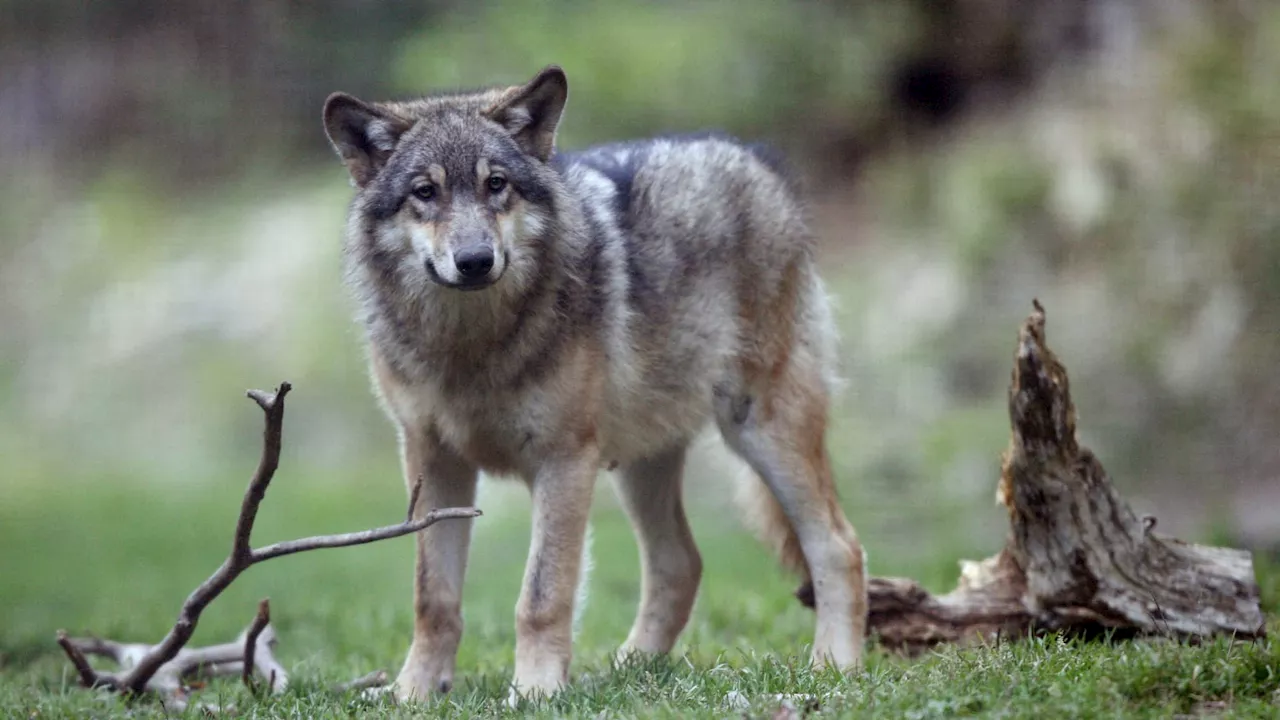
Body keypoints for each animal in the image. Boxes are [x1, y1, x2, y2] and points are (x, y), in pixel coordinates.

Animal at [322, 64, 870, 696]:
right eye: (424, 192)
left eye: (496, 184)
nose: (476, 260)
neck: (472, 346)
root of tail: (755, 156)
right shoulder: (432, 463)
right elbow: (432, 597)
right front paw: (413, 692)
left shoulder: (564, 461)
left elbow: (541, 596)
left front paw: (535, 692)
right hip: (641, 464)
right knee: (681, 564)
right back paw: (628, 669)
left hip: (760, 432)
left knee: (838, 546)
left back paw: (834, 667)